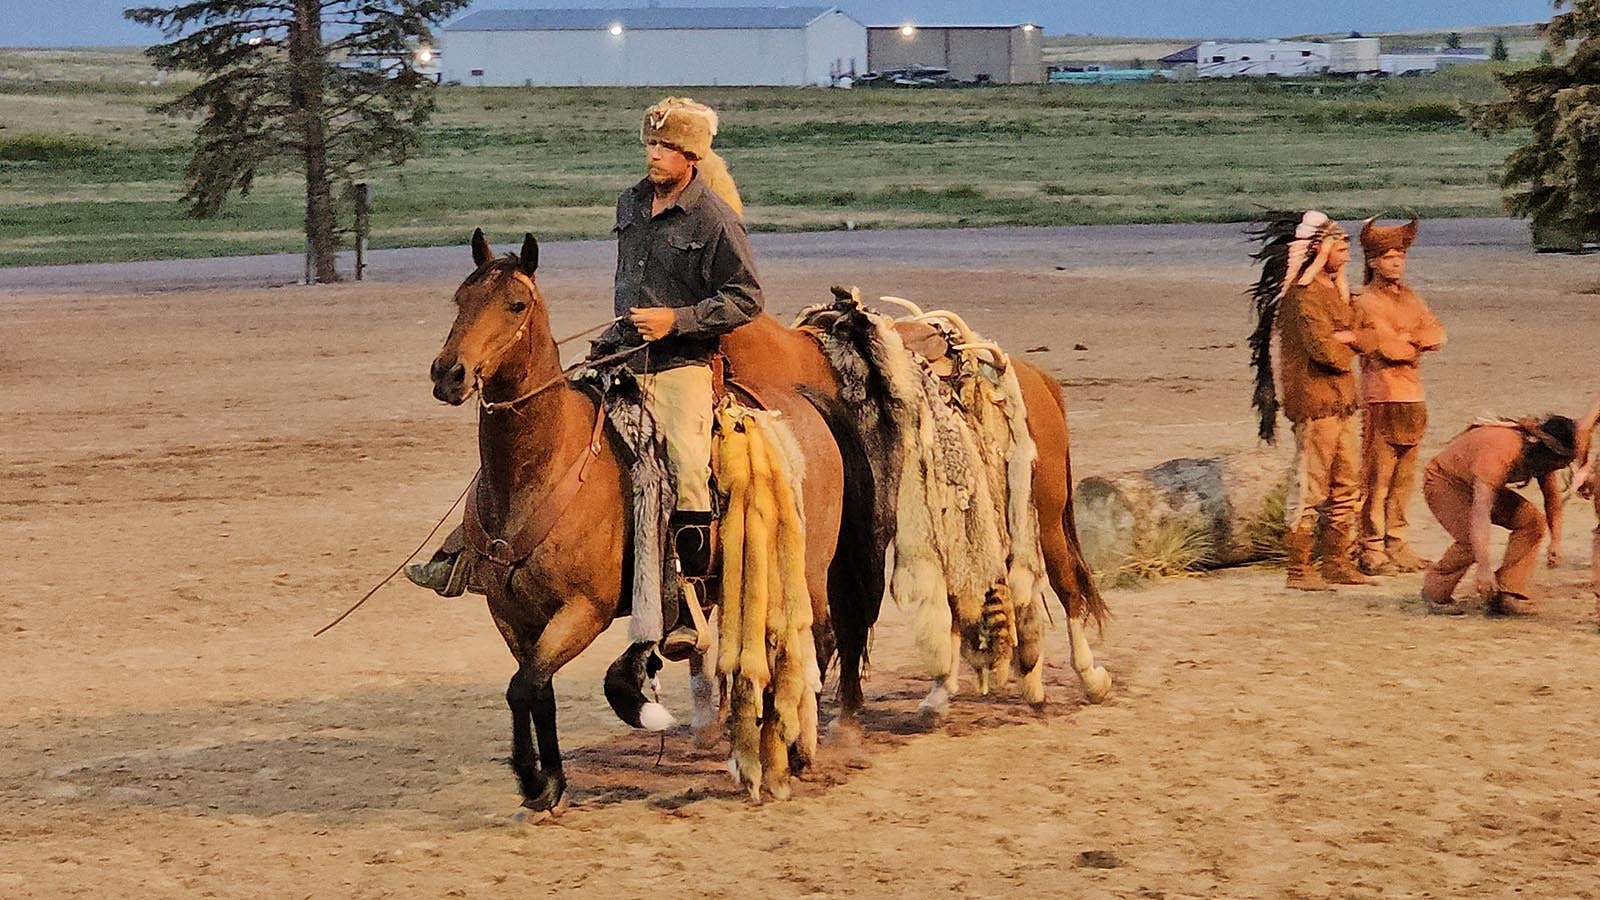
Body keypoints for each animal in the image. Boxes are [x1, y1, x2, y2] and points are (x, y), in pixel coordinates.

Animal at [428, 229, 864, 807]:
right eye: (460, 299)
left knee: (817, 637)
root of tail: (804, 406)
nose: (448, 374)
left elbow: (524, 686)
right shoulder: (511, 616)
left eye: (516, 304)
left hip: (806, 567)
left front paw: (534, 778)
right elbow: (534, 688)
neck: (544, 466)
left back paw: (788, 752)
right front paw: (548, 780)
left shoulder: (583, 612)